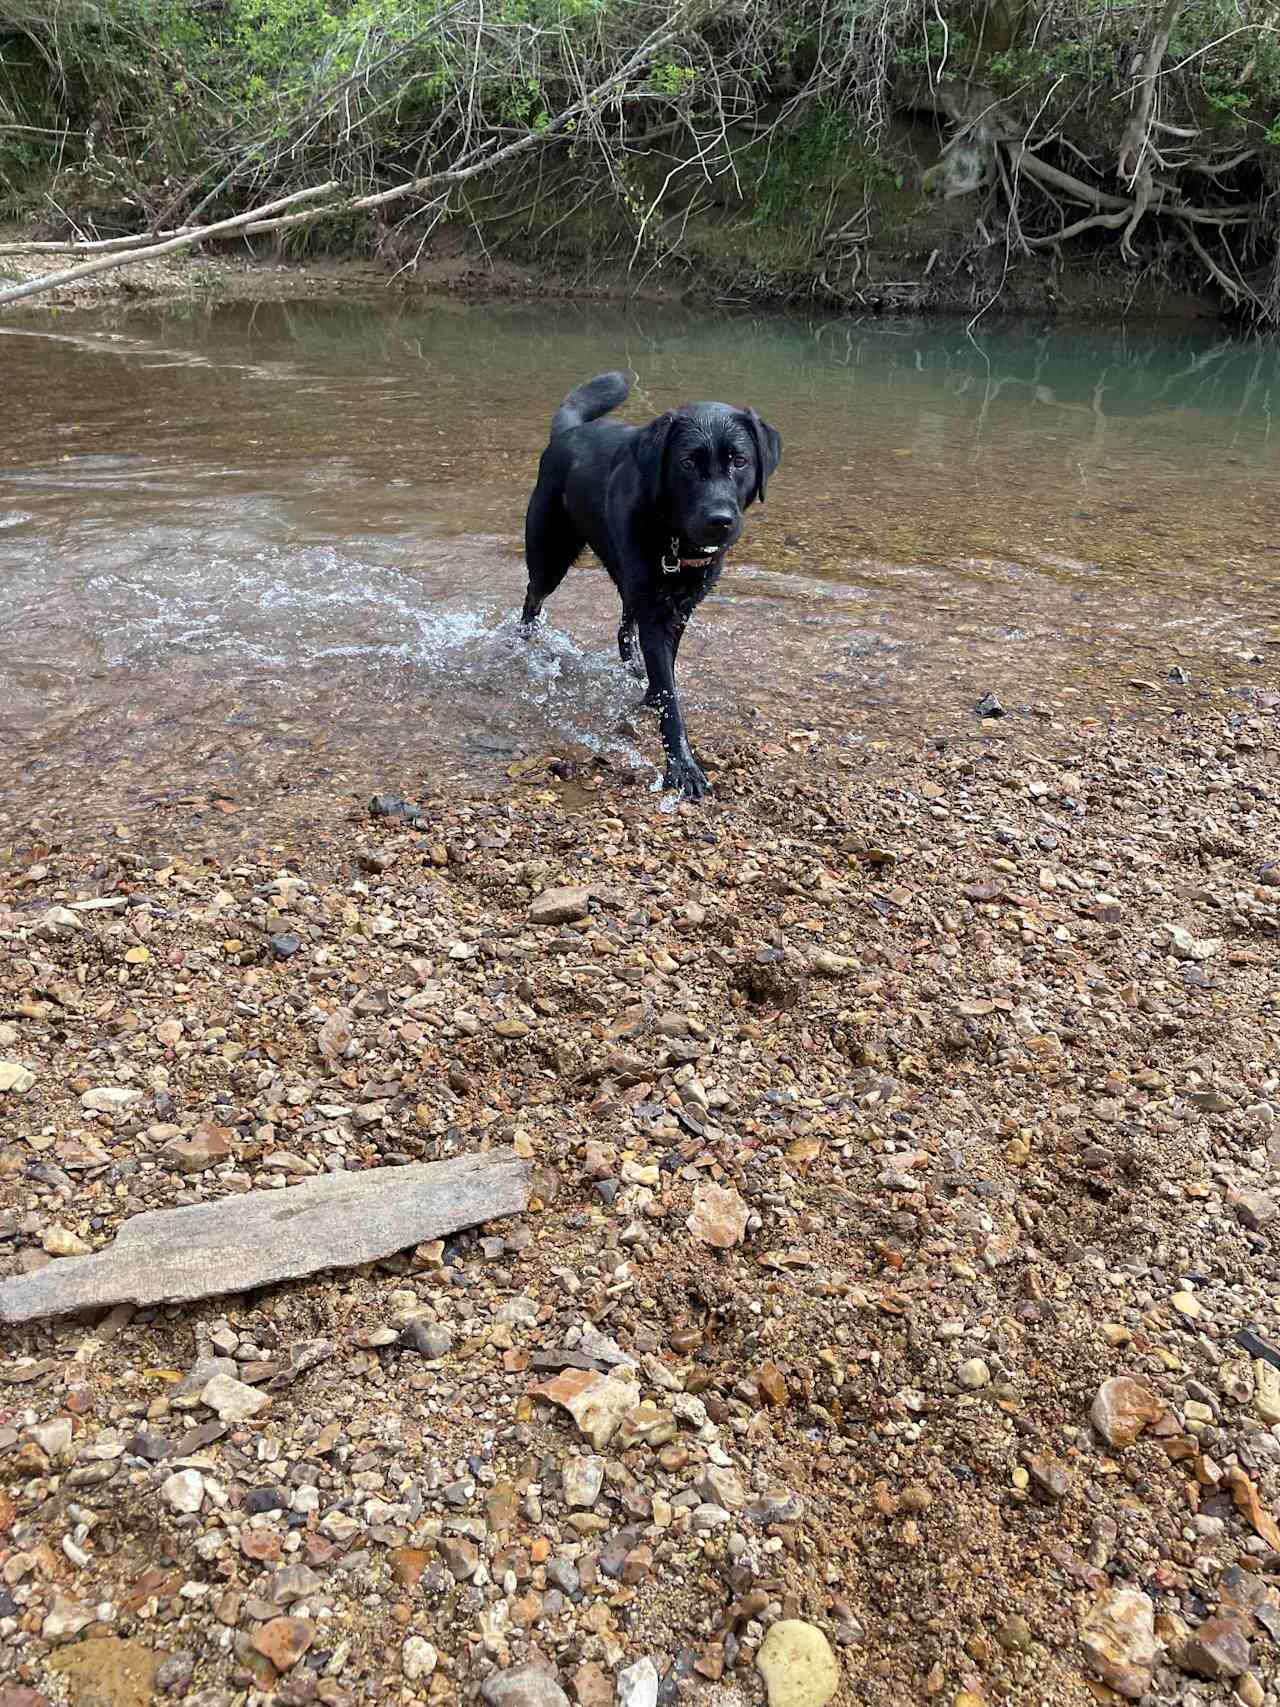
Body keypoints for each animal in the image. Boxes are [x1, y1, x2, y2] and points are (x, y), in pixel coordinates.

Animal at [522, 373, 781, 798]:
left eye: (739, 461)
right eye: (688, 462)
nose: (720, 520)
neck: (674, 538)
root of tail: (570, 430)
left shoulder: (677, 611)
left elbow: (666, 675)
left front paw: (652, 693)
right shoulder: (656, 614)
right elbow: (671, 699)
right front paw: (683, 769)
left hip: (628, 580)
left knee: (623, 626)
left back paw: (634, 668)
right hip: (550, 557)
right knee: (532, 598)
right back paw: (525, 644)